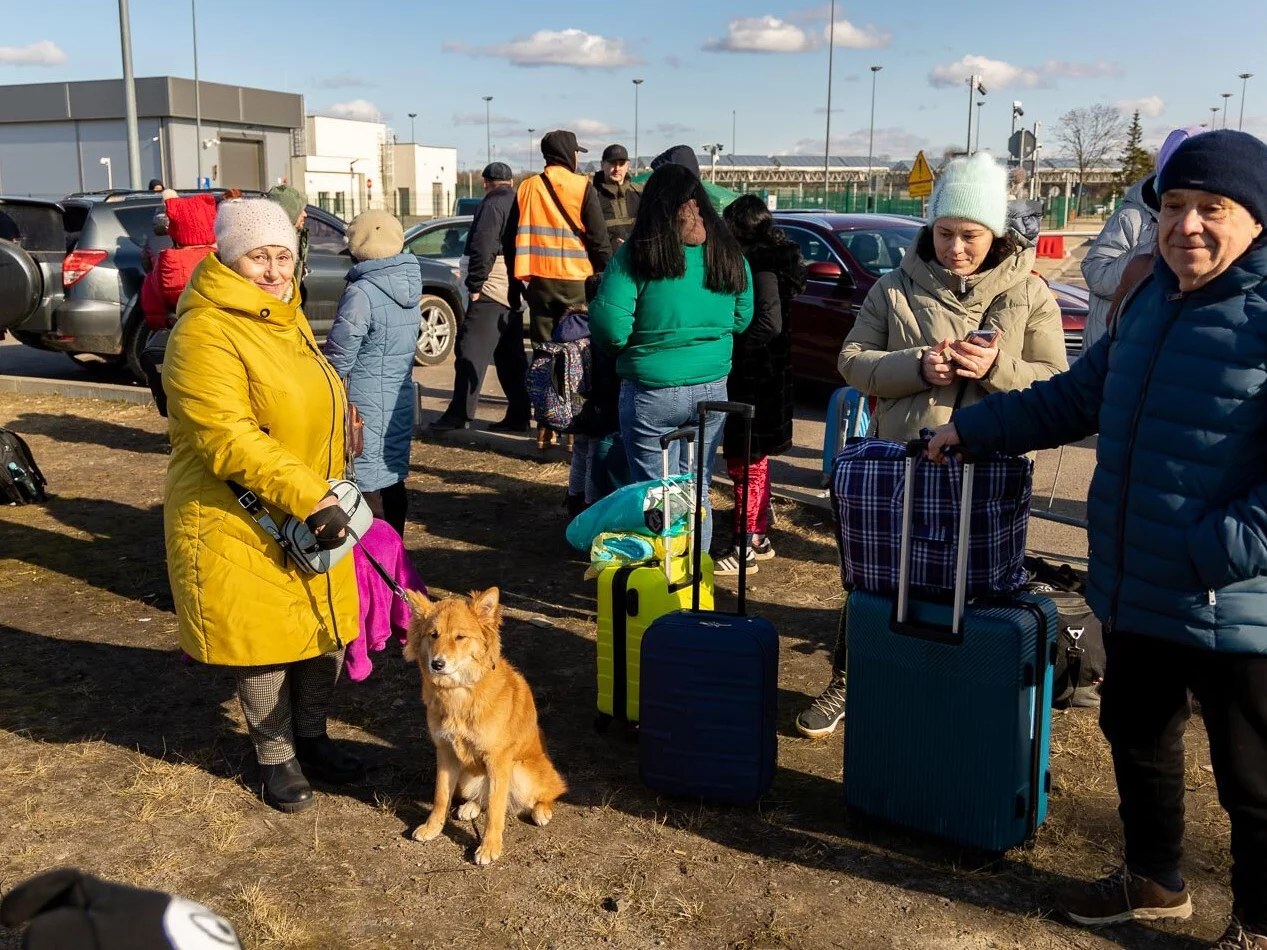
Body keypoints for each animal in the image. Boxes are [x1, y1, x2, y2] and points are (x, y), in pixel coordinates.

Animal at [402, 587, 567, 871]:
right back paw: (470, 806)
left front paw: (490, 847)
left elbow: (496, 809)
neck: (460, 694)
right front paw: (432, 827)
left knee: (548, 792)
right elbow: (440, 796)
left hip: (520, 771)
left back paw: (541, 810)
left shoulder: (498, 759)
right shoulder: (445, 752)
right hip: (467, 775)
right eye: (433, 635)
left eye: (460, 637)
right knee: (481, 798)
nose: (437, 664)